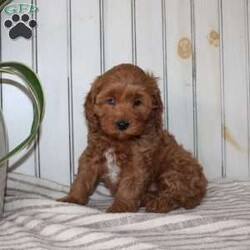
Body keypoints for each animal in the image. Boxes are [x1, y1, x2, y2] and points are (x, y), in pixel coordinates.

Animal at [59, 63, 207, 212]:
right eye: (111, 100)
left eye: (137, 102)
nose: (122, 124)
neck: (118, 141)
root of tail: (202, 188)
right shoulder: (92, 155)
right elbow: (83, 178)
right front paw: (72, 199)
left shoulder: (137, 161)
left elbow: (129, 185)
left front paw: (121, 207)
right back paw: (147, 199)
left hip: (176, 167)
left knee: (176, 194)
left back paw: (159, 203)